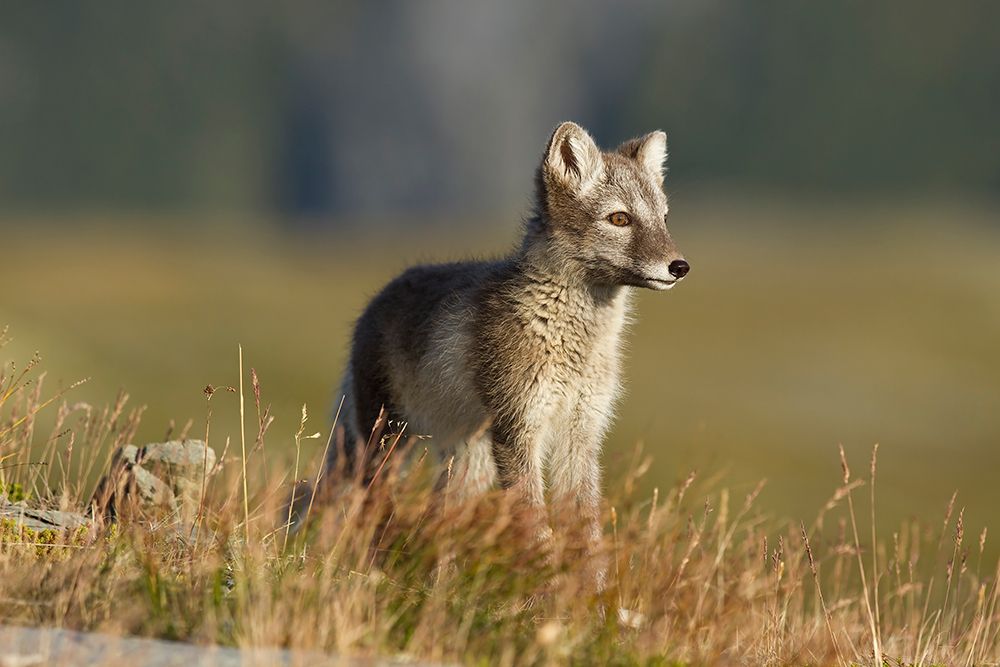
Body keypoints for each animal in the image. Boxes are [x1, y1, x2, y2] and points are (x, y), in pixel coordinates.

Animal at [326, 121, 688, 572]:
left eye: (664, 218)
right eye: (619, 219)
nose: (680, 266)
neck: (571, 341)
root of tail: (375, 301)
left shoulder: (582, 433)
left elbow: (587, 539)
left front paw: (590, 592)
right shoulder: (519, 429)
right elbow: (537, 530)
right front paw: (547, 585)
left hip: (468, 462)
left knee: (437, 519)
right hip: (389, 444)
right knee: (371, 510)